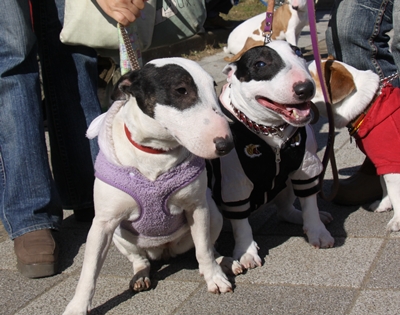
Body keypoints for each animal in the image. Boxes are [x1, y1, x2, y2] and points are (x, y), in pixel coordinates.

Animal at [64, 58, 242, 315]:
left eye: (213, 87)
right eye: (181, 90)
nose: (226, 144)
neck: (155, 152)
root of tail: (165, 251)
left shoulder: (197, 208)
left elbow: (204, 249)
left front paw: (214, 278)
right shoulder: (103, 224)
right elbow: (89, 270)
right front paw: (78, 306)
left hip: (212, 213)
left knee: (208, 245)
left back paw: (223, 262)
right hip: (121, 236)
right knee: (140, 259)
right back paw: (140, 276)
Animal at [310, 58, 400, 232]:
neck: (368, 106)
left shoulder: (391, 162)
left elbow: (395, 193)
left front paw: (397, 220)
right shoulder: (381, 160)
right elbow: (383, 183)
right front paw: (383, 204)